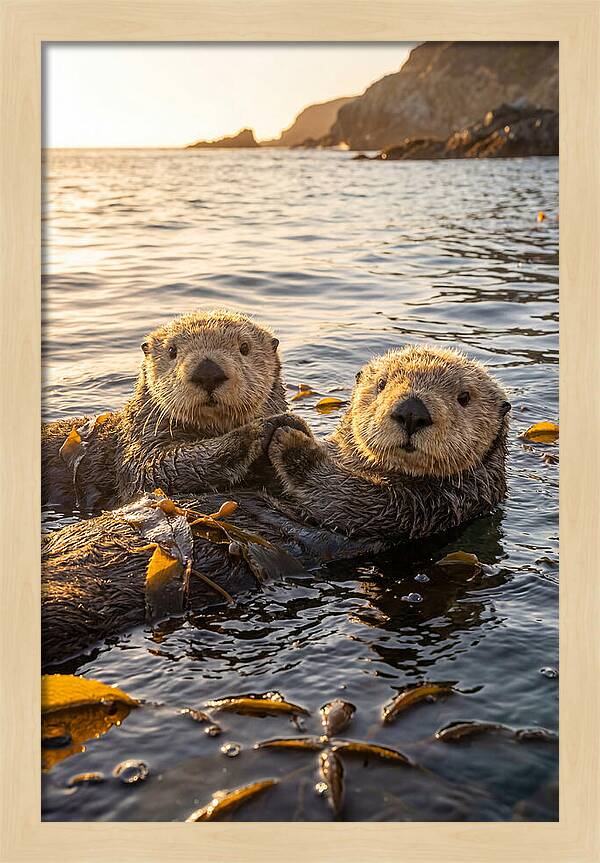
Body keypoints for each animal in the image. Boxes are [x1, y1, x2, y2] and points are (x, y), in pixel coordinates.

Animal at [42, 310, 298, 511]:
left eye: (244, 347)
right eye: (172, 351)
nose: (208, 372)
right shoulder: (139, 448)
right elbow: (158, 468)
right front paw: (263, 428)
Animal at [42, 346, 510, 666]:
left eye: (464, 397)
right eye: (381, 386)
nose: (412, 410)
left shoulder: (427, 508)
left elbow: (345, 496)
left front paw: (289, 438)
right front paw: (275, 426)